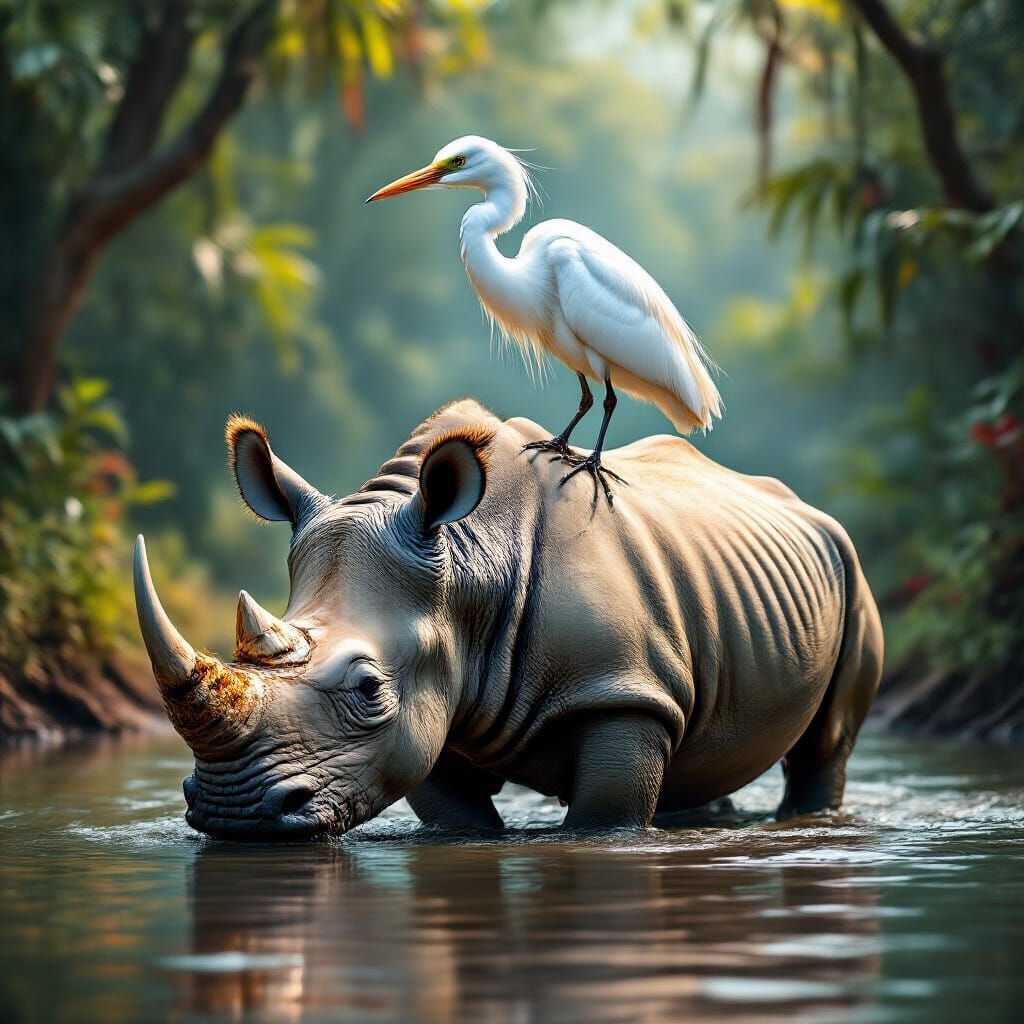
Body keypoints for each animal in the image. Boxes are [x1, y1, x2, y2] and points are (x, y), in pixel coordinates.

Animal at [134, 399, 883, 838]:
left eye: (368, 688)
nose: (233, 812)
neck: (468, 568)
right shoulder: (432, 710)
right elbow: (459, 819)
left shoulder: (620, 690)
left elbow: (602, 820)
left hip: (851, 568)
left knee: (826, 741)